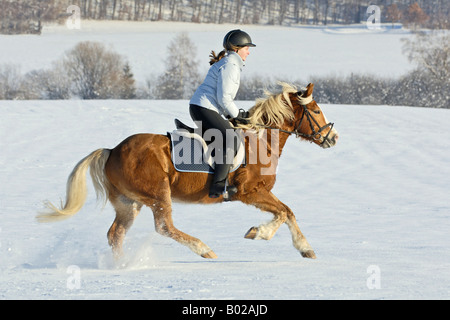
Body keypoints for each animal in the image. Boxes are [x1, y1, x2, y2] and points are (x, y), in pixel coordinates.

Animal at [38, 82, 338, 260]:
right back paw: (205, 250)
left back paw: (120, 265)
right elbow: (284, 212)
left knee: (116, 234)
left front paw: (297, 246)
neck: (261, 140)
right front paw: (265, 235)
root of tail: (112, 150)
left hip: (129, 203)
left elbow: (286, 212)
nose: (333, 138)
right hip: (158, 194)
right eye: (316, 110)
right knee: (164, 226)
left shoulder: (258, 193)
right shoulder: (249, 192)